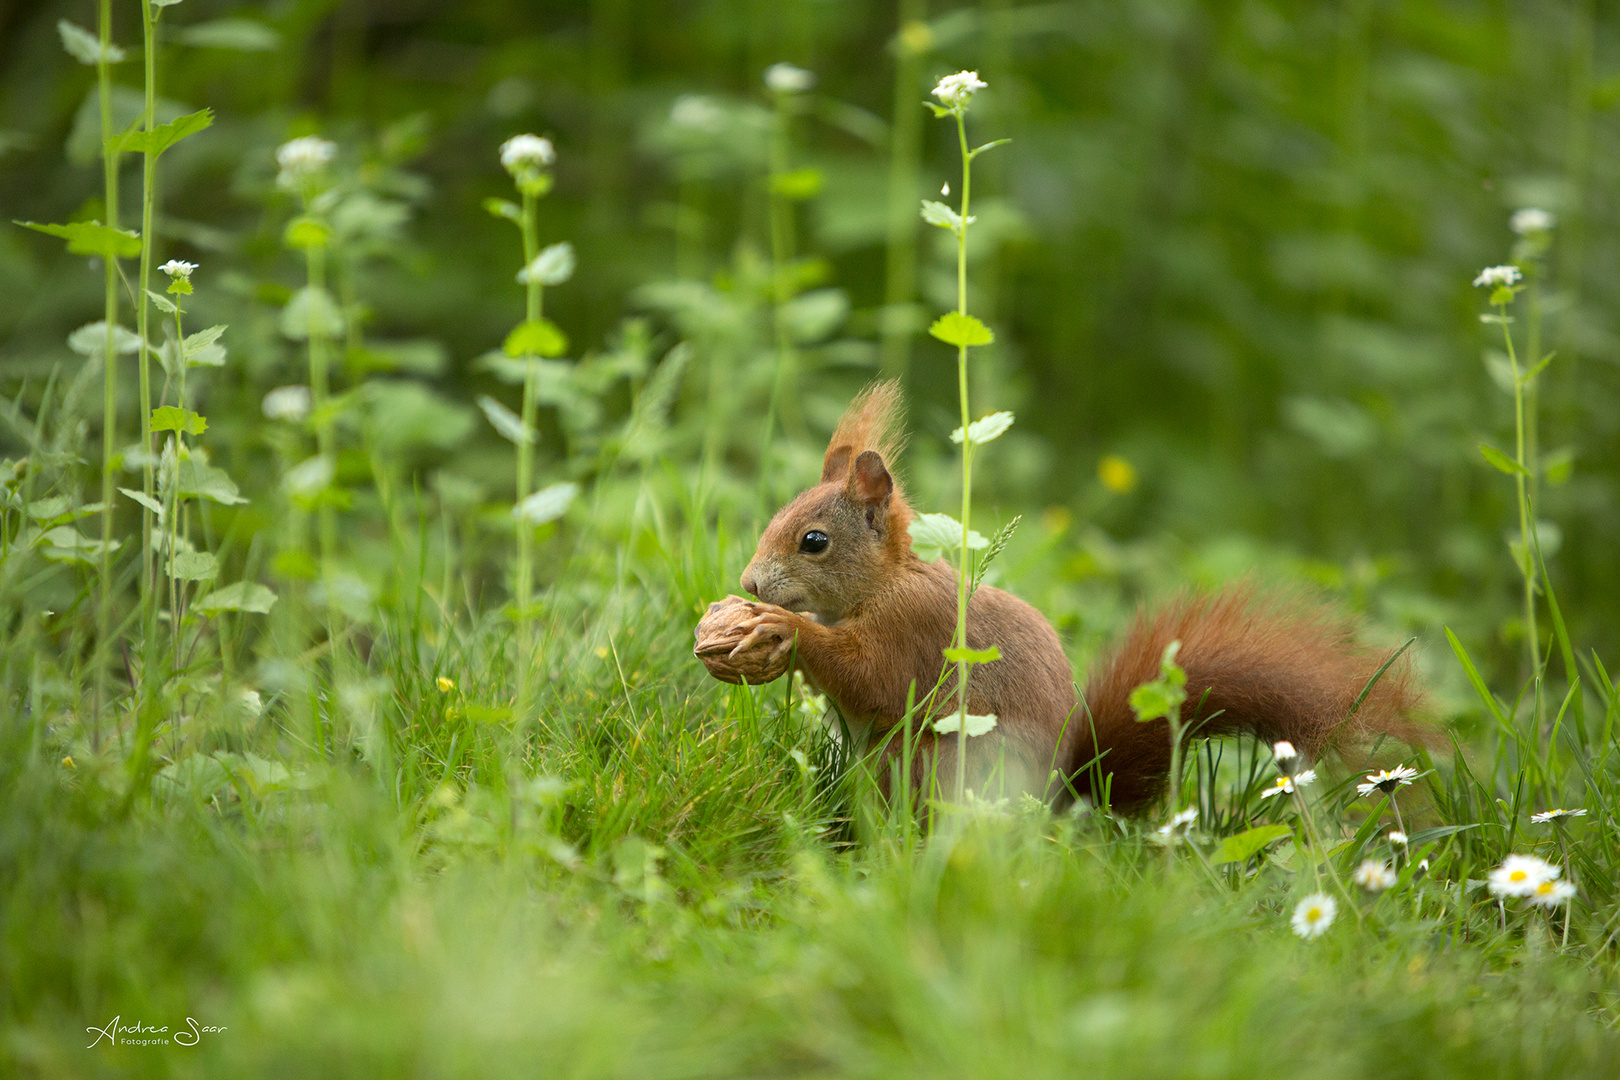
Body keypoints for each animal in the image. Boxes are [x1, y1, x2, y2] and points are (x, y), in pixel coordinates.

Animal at [729, 382, 1425, 809]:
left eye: (814, 541)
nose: (749, 585)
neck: (883, 583)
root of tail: (1058, 803)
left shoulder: (912, 630)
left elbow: (870, 677)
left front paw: (782, 629)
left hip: (933, 760)